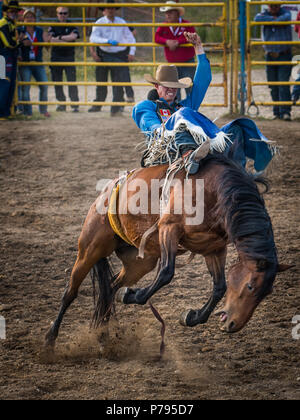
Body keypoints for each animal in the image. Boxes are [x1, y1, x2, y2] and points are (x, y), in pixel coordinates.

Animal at [45, 153, 292, 348]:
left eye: (267, 292)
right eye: (250, 286)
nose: (233, 325)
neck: (213, 191)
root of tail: (108, 189)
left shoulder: (214, 249)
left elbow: (220, 286)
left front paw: (191, 316)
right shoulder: (168, 229)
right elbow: (166, 272)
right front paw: (134, 295)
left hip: (140, 262)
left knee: (110, 288)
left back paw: (104, 335)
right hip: (90, 248)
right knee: (70, 292)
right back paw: (50, 339)